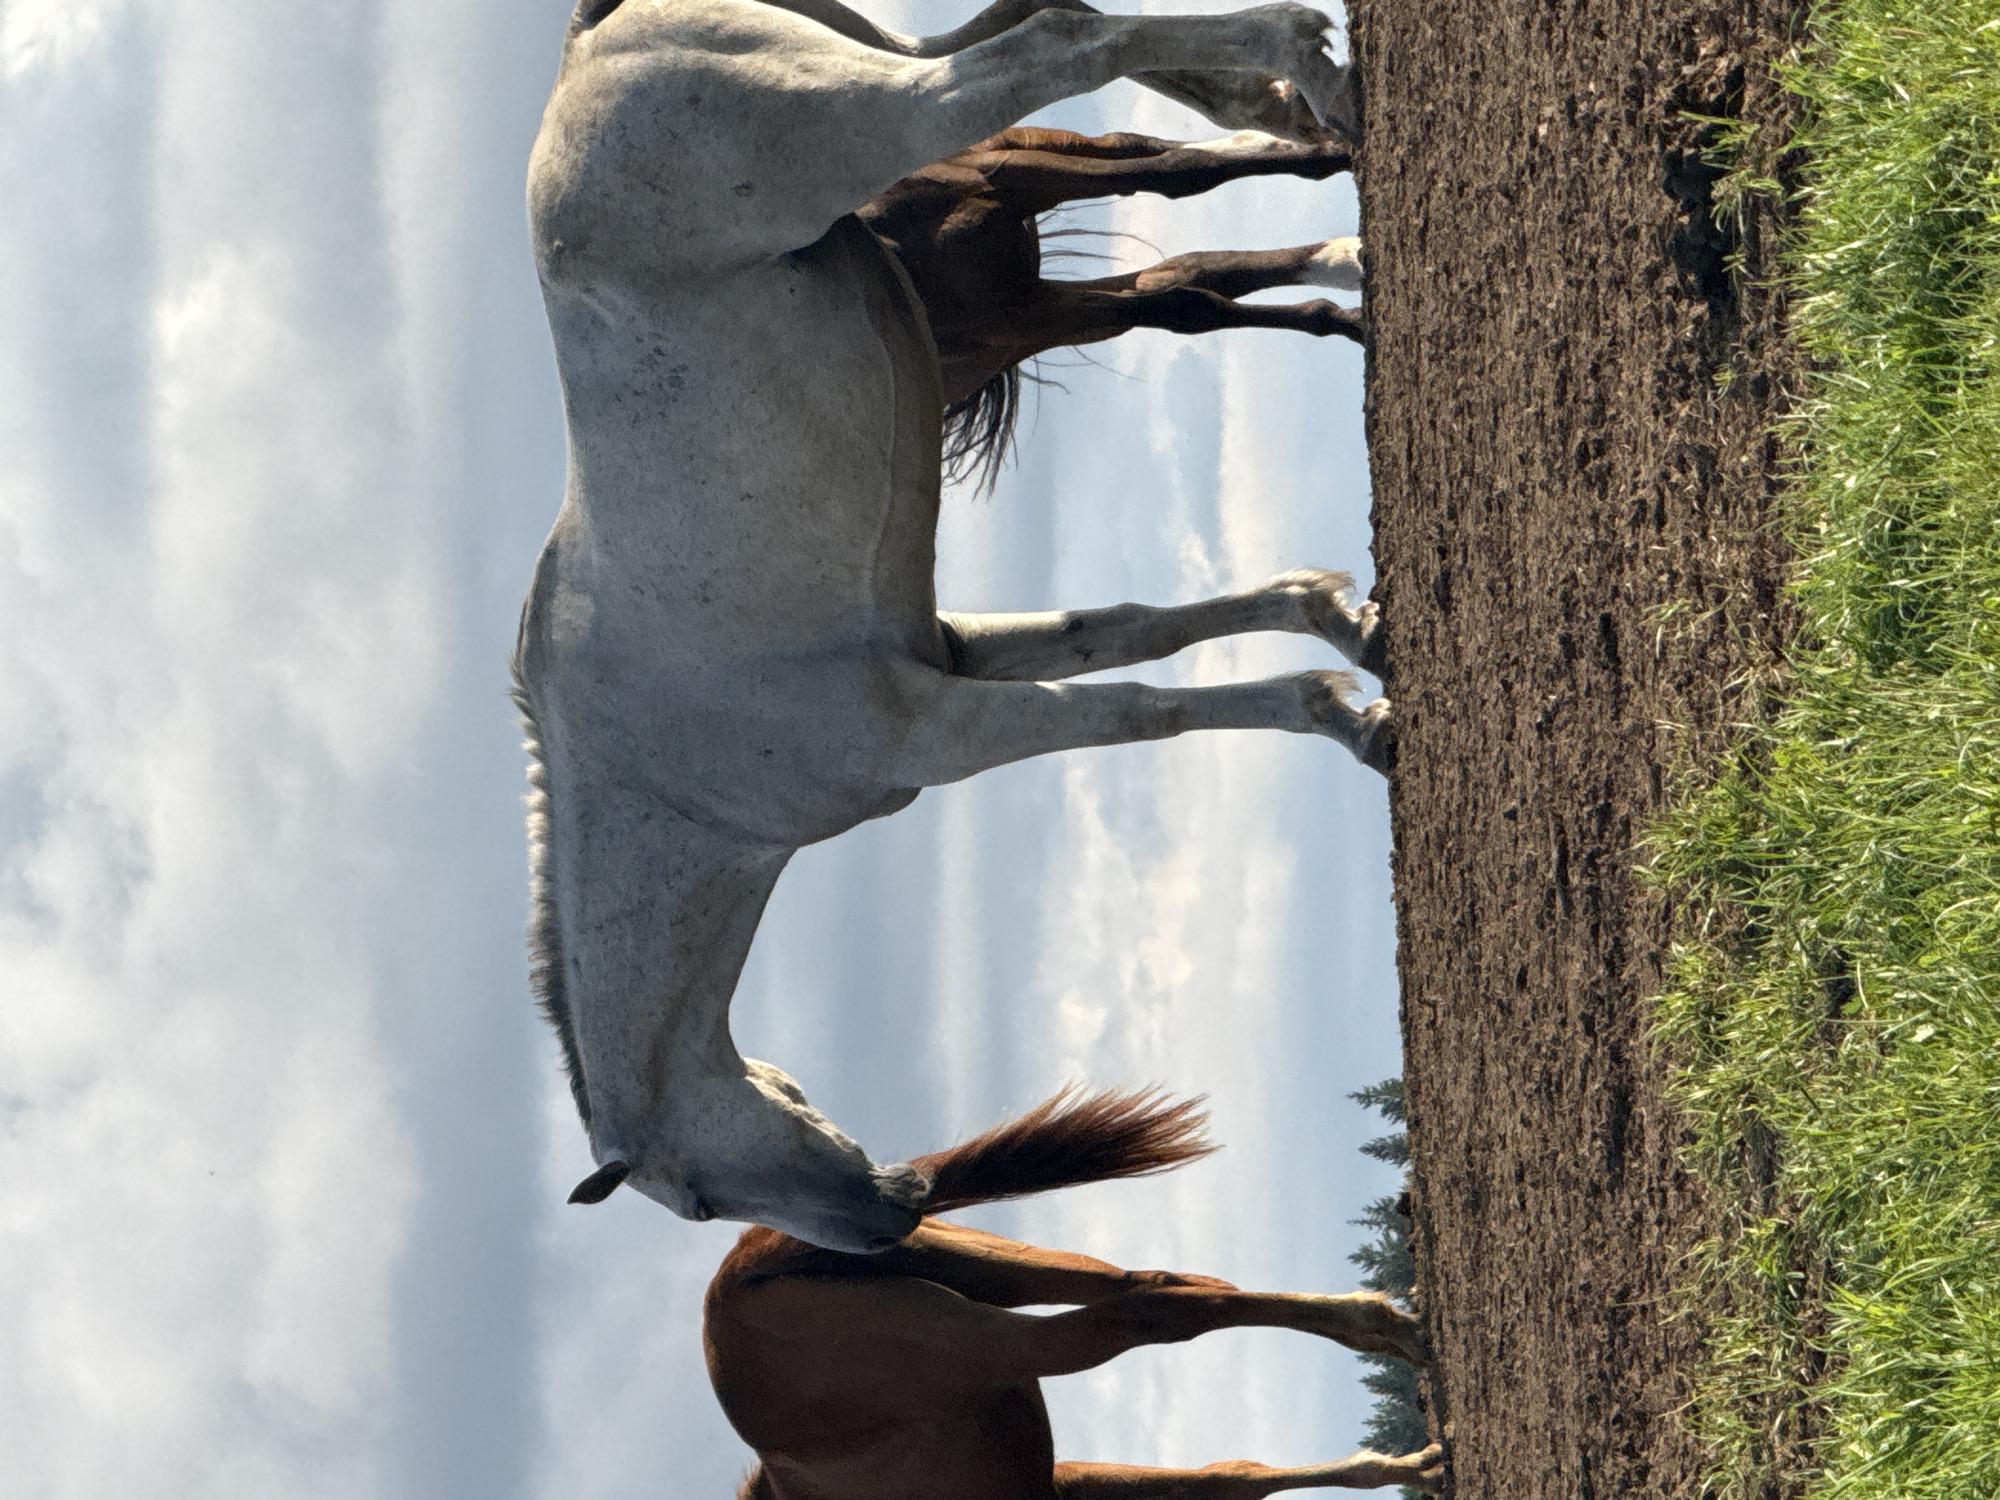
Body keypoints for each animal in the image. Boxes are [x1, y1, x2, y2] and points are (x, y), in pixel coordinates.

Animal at [704, 1086, 1446, 1499]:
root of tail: (734, 1278)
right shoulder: (1069, 1484)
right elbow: (1231, 1475)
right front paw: (1413, 1467)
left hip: (999, 1344)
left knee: (1165, 1309)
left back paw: (1402, 1335)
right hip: (1006, 1275)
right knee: (1158, 1285)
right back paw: (1385, 1327)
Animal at [857, 126, 1364, 488]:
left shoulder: (1009, 178)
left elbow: (1178, 173)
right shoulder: (1022, 319)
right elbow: (1189, 306)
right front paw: (1351, 320)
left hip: (1013, 158)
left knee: (1131, 149)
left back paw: (1310, 153)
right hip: (1033, 307)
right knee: (1189, 266)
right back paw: (1344, 252)